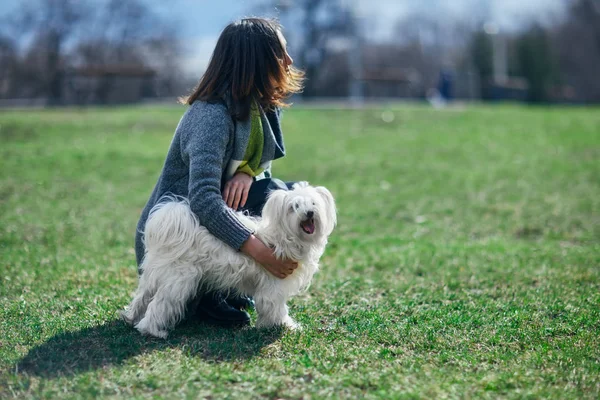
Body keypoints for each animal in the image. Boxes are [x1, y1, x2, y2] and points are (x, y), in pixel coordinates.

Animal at [122, 183, 338, 340]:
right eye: (294, 207)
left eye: (313, 204)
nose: (309, 213)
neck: (286, 237)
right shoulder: (273, 285)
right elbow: (277, 308)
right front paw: (285, 325)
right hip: (178, 281)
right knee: (159, 305)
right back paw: (153, 331)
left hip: (155, 276)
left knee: (142, 297)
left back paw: (130, 317)